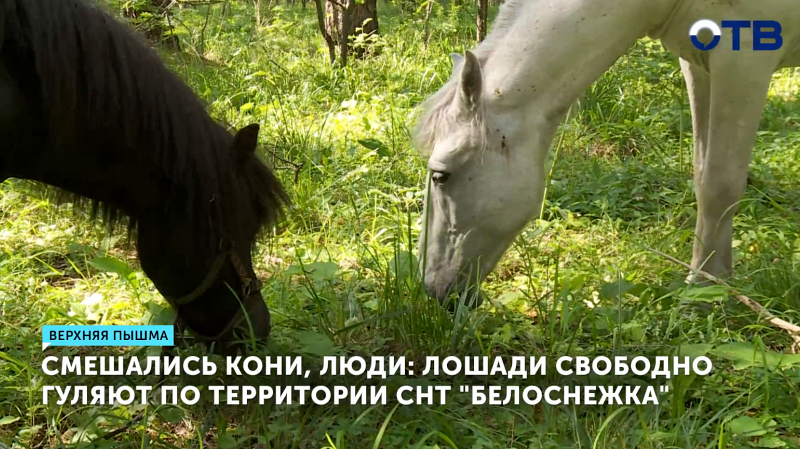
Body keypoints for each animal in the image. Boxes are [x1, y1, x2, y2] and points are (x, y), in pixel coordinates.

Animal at [413, 0, 800, 307]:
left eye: (441, 175)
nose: (431, 290)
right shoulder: (699, 64)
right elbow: (704, 176)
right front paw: (709, 282)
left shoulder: (743, 59)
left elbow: (721, 185)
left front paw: (707, 290)